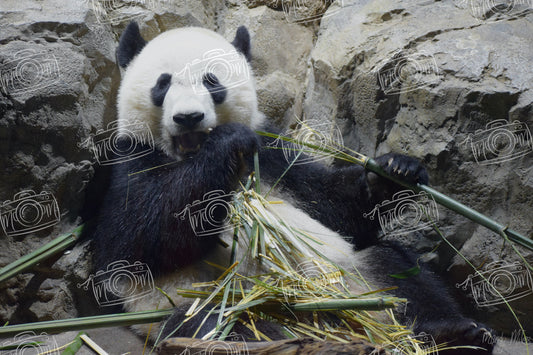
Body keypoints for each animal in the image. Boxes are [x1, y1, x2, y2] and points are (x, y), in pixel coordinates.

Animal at [87, 20, 494, 354]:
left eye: (211, 82)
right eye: (163, 83)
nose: (189, 117)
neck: (188, 154)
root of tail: (335, 319)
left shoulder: (273, 157)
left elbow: (333, 209)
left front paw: (395, 170)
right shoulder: (131, 159)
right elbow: (136, 244)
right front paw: (226, 145)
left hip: (356, 278)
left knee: (399, 272)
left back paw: (456, 335)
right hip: (200, 301)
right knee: (223, 325)